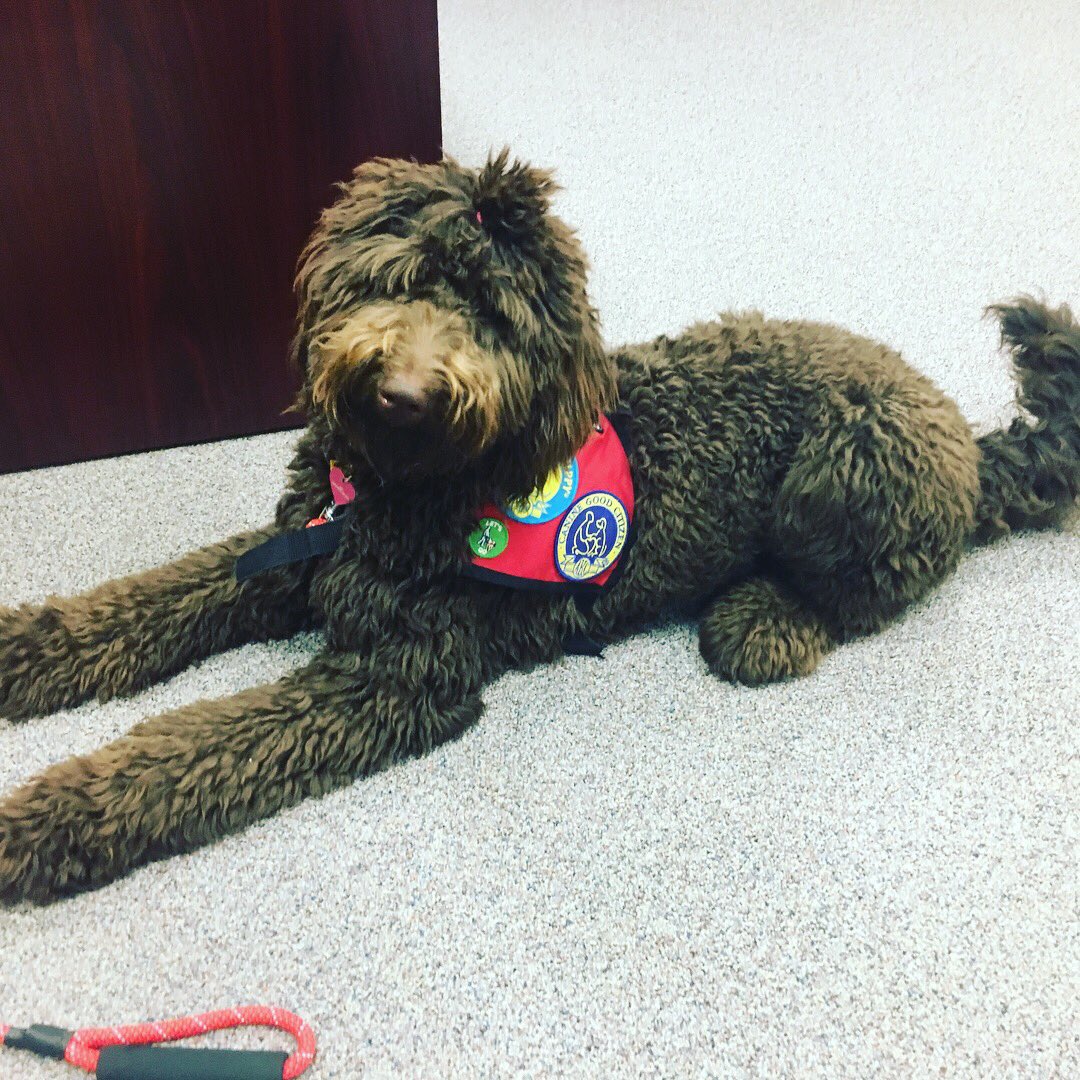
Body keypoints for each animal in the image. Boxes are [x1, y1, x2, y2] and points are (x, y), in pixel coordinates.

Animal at [0, 147, 1075, 898]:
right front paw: (28, 649)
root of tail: (967, 437)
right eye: (402, 277)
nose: (402, 392)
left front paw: (49, 817)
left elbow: (197, 747)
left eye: (492, 317)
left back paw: (763, 620)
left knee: (869, 588)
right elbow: (151, 597)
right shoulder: (293, 552)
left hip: (846, 469)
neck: (398, 493)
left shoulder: (397, 677)